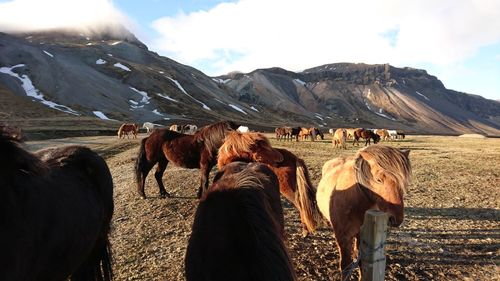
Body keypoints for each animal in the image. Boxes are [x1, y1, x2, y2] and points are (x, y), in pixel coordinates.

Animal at [316, 144, 410, 280]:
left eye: (403, 183)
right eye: (378, 180)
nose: (396, 219)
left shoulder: (362, 236)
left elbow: (361, 261)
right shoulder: (343, 238)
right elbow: (345, 266)